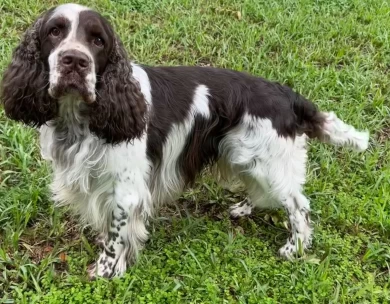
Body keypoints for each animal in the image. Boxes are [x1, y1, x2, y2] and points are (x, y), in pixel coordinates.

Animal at [1, 2, 370, 278]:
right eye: (55, 31)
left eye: (98, 40)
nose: (75, 61)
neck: (82, 119)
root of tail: (287, 95)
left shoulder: (125, 188)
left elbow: (116, 234)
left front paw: (106, 271)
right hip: (245, 154)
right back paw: (243, 209)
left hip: (269, 161)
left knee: (298, 206)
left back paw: (294, 248)